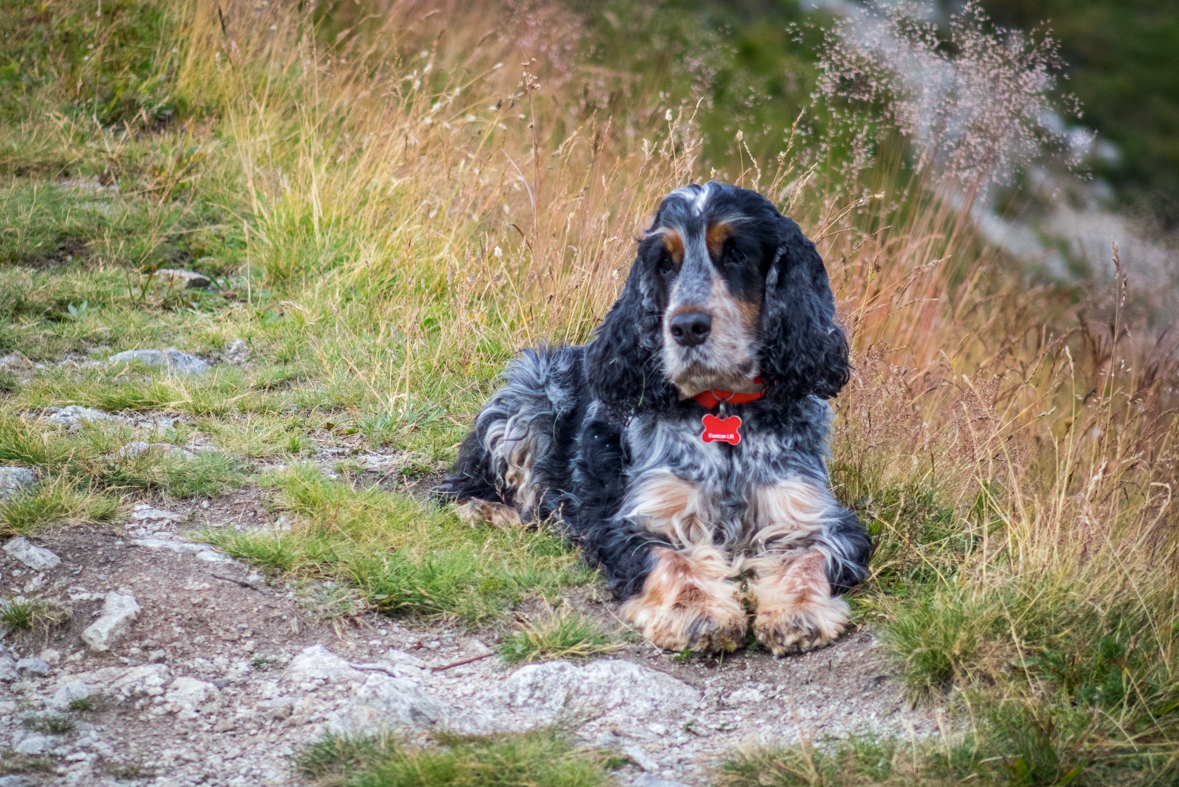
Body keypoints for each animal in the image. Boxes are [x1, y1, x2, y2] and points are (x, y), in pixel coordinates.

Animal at [429, 182, 872, 650]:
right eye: (664, 263)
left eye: (736, 254)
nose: (687, 326)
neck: (724, 407)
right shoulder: (638, 520)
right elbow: (673, 560)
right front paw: (698, 613)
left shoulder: (814, 516)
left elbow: (809, 558)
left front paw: (797, 613)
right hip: (527, 396)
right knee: (483, 488)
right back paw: (488, 510)